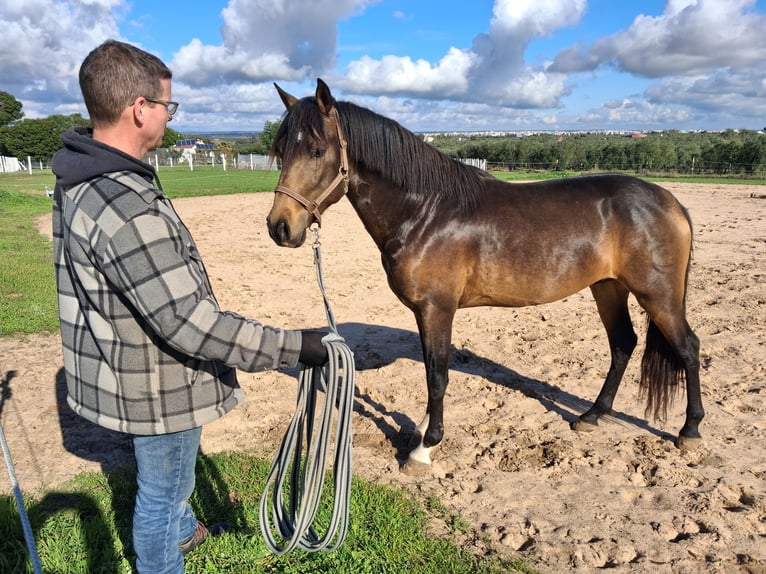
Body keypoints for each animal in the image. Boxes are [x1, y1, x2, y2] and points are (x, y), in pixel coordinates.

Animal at [266, 79, 703, 473]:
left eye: (317, 150)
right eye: (282, 150)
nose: (280, 227)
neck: (425, 212)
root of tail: (670, 202)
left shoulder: (437, 310)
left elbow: (438, 376)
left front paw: (425, 449)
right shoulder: (425, 312)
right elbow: (430, 371)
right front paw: (422, 431)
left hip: (657, 295)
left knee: (687, 348)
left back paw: (690, 431)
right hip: (607, 288)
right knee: (623, 345)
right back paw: (592, 416)